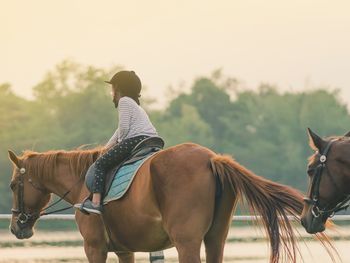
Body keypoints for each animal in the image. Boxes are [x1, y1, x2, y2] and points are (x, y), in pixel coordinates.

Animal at [9, 143, 334, 262]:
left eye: (13, 185)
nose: (15, 228)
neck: (82, 183)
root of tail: (211, 159)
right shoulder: (124, 250)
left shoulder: (95, 248)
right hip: (215, 239)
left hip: (186, 242)